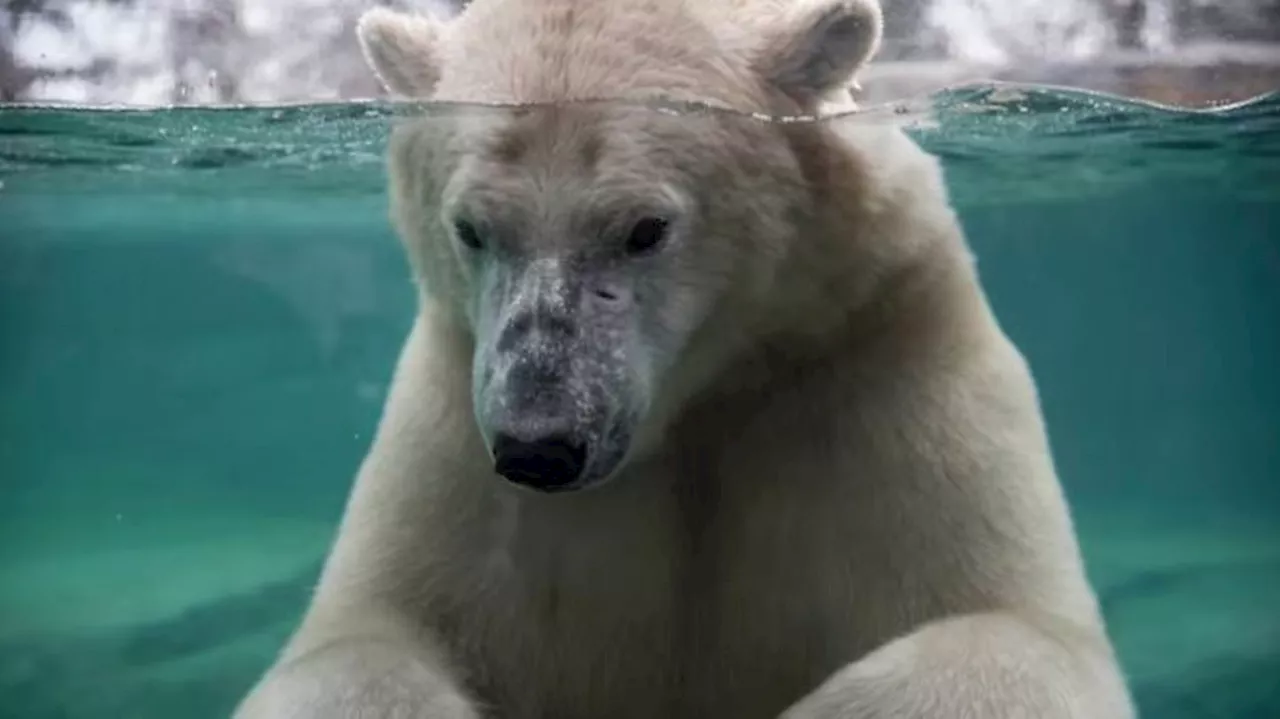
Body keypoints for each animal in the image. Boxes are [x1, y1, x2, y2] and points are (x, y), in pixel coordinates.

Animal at [235, 1, 1136, 716]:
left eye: (644, 228)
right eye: (472, 228)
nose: (540, 444)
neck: (696, 401)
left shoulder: (879, 367)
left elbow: (1010, 628)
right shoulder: (457, 429)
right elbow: (364, 640)